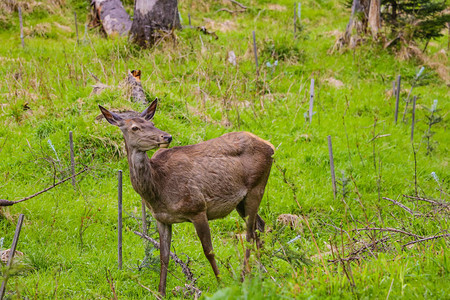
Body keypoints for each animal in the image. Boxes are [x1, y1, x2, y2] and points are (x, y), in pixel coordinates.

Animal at [99, 99, 274, 296]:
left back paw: (245, 276)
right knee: (260, 226)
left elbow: (209, 251)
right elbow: (164, 255)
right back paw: (261, 272)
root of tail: (270, 146)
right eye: (135, 127)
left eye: (152, 123)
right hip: (241, 201)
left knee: (250, 233)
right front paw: (161, 292)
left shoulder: (197, 207)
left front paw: (221, 283)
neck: (159, 189)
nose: (167, 137)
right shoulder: (162, 218)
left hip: (256, 187)